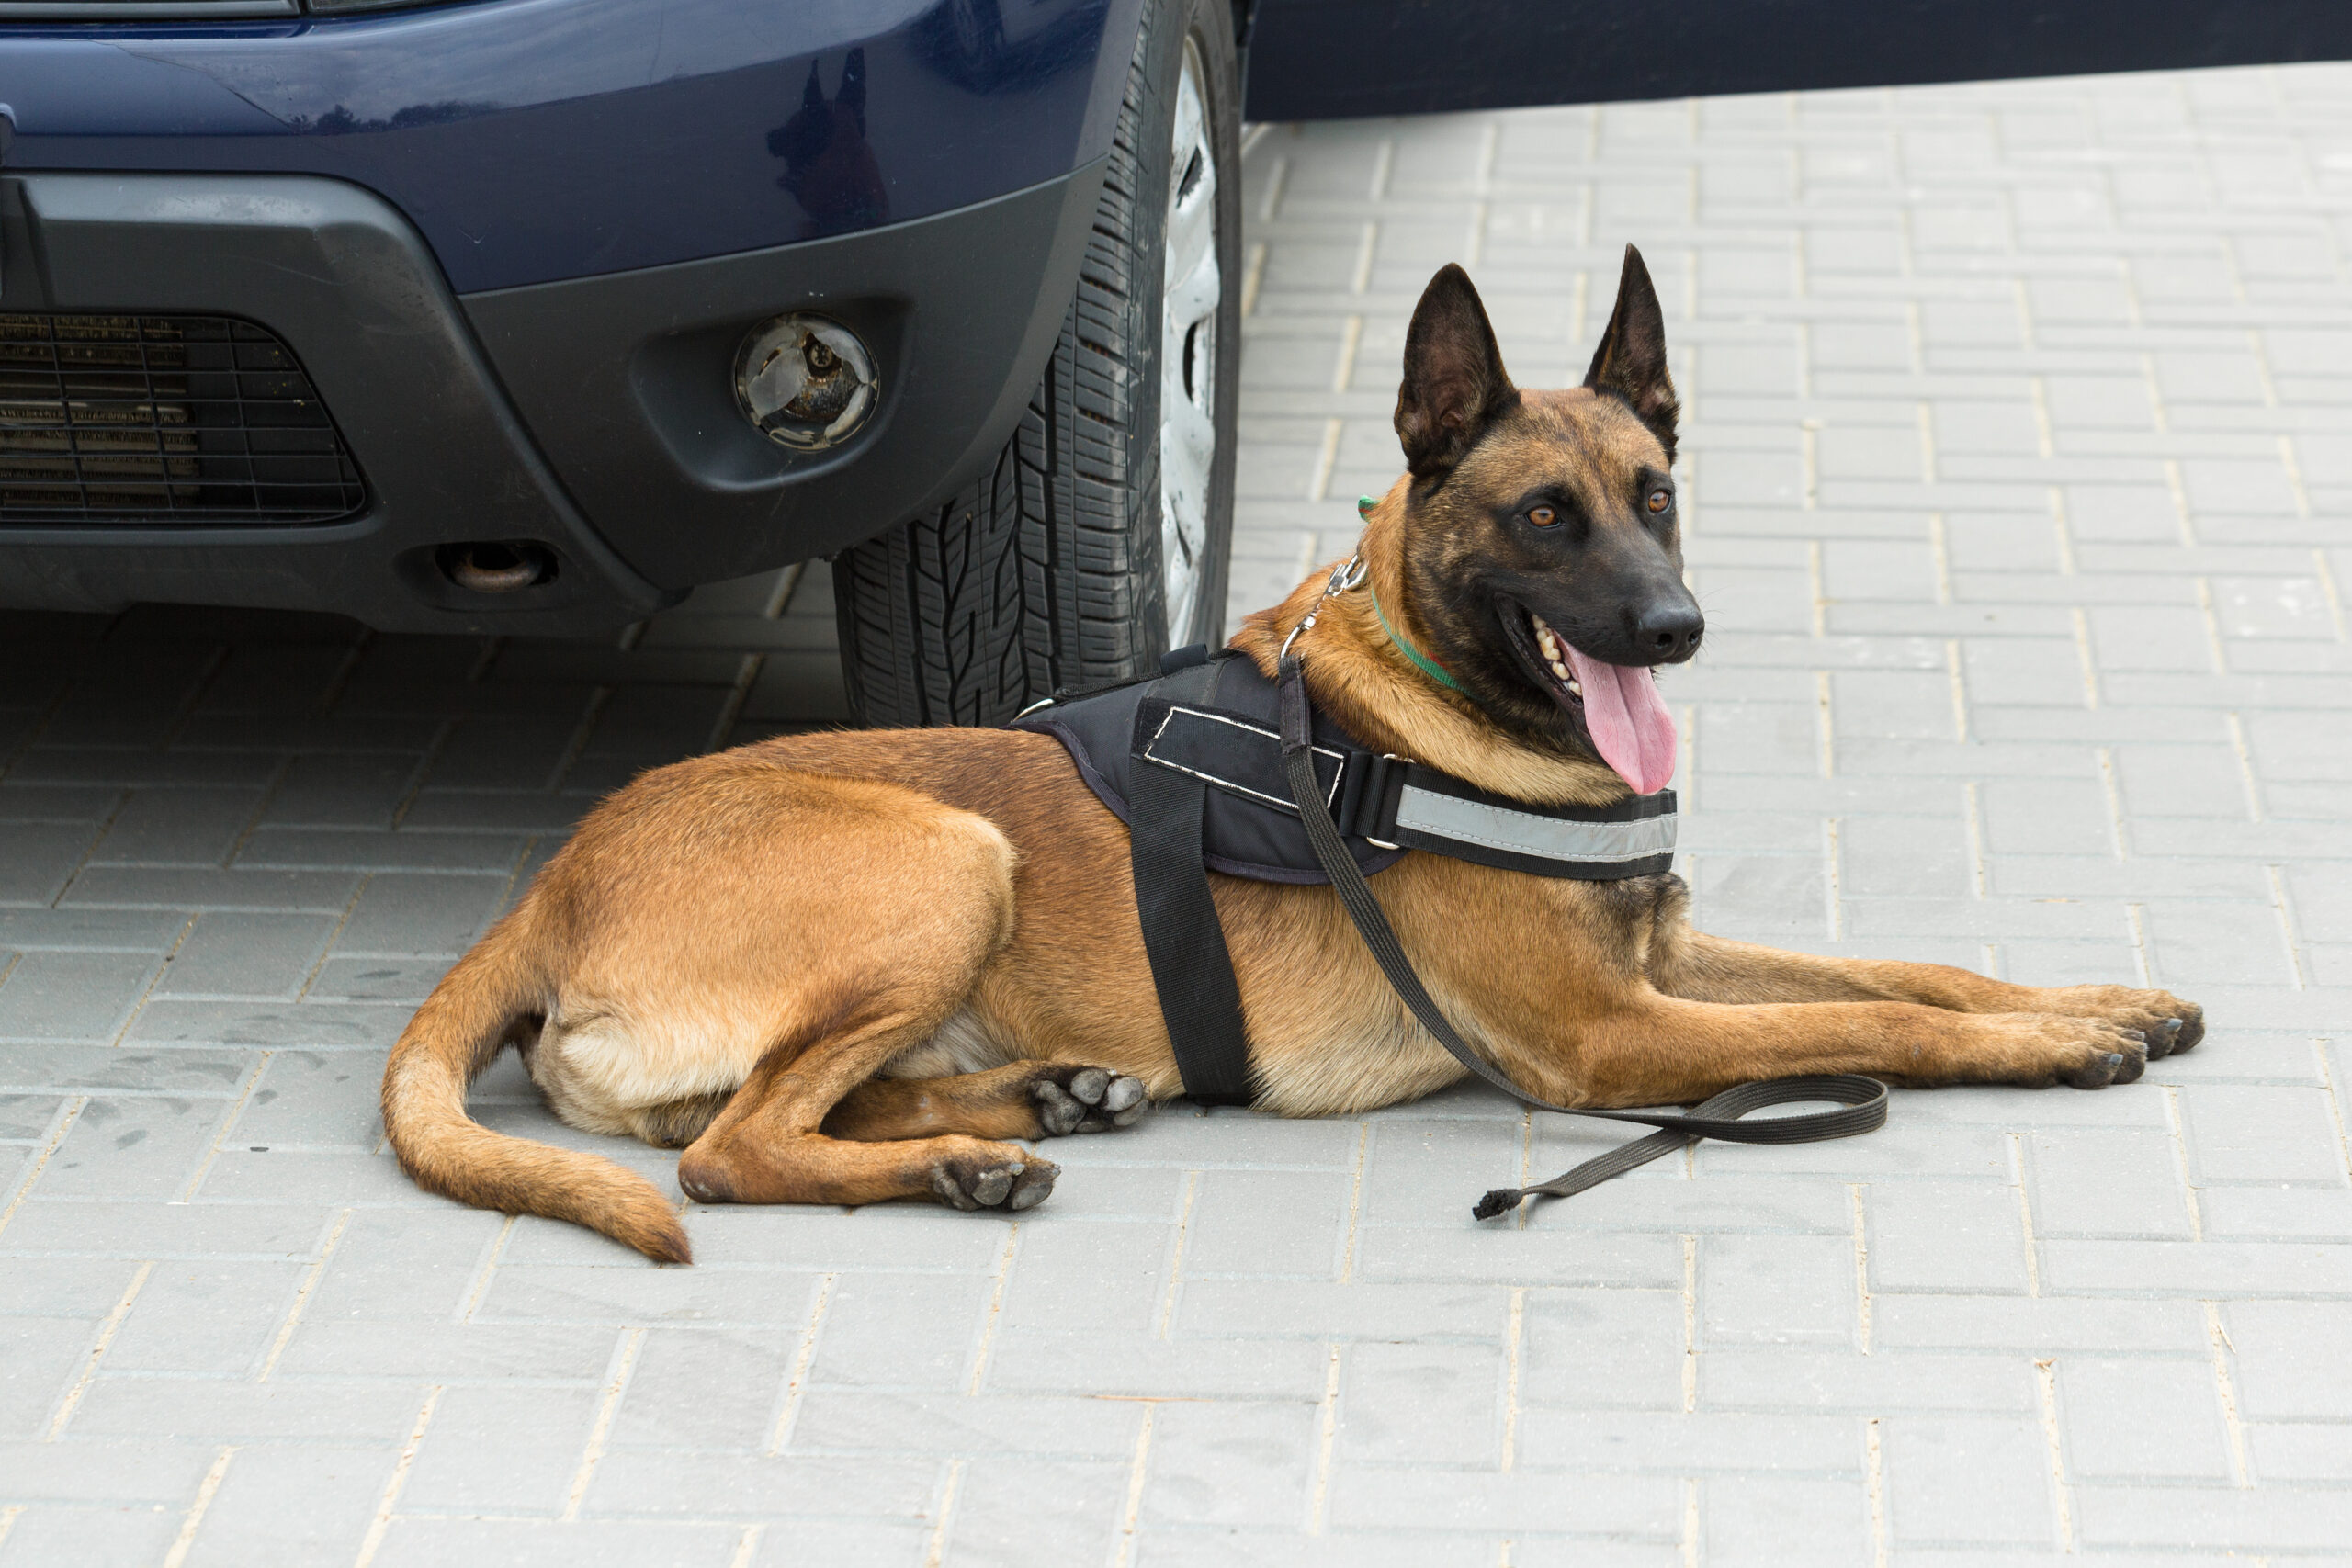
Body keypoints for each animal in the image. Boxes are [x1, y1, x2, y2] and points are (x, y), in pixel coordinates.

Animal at [385, 251, 2201, 1269]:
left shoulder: (1664, 960)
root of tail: (549, 882)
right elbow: (1883, 1018)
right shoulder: (1611, 1033)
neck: (1433, 712)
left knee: (793, 1105)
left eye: (1657, 493)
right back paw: (978, 1154)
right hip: (947, 854)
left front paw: (2095, 998)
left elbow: (1919, 965)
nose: (1677, 628)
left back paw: (1033, 1100)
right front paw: (2060, 1048)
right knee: (732, 1146)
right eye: (1547, 518)